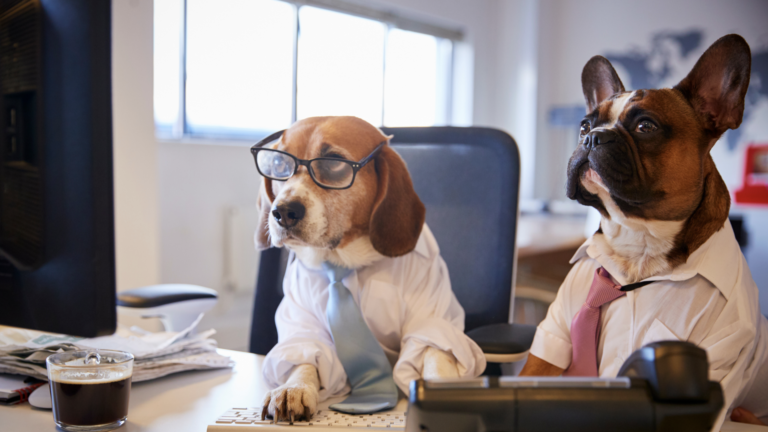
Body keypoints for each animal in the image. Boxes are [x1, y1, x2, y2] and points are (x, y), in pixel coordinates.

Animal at [255, 115, 484, 422]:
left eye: (333, 163)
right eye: (280, 164)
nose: (283, 212)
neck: (344, 262)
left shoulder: (432, 320)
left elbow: (435, 353)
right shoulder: (303, 324)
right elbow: (304, 359)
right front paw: (294, 388)